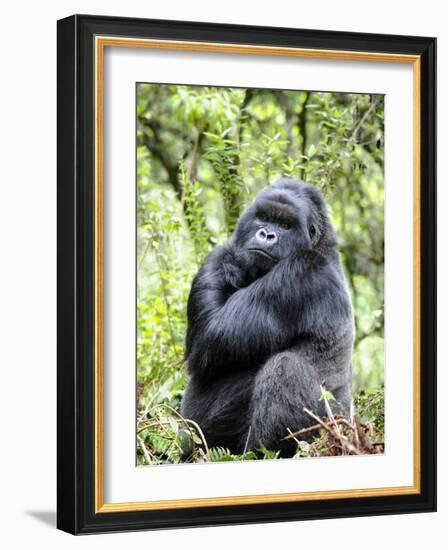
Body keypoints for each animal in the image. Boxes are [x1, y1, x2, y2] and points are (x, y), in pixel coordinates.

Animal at [179, 180, 354, 458]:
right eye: (263, 218)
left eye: (285, 225)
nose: (266, 235)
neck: (320, 245)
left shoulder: (300, 271)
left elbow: (209, 337)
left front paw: (229, 260)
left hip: (329, 432)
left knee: (285, 367)